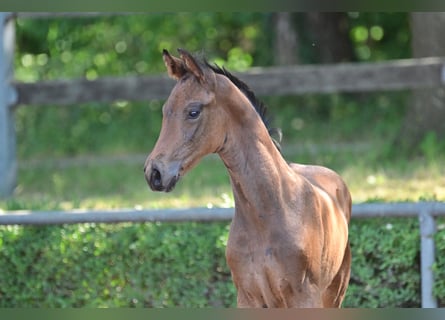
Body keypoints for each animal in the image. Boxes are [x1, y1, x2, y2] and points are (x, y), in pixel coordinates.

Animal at [142, 48, 350, 308]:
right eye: (165, 111)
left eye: (193, 111)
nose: (154, 173)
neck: (269, 212)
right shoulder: (247, 296)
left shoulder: (304, 297)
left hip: (334, 293)